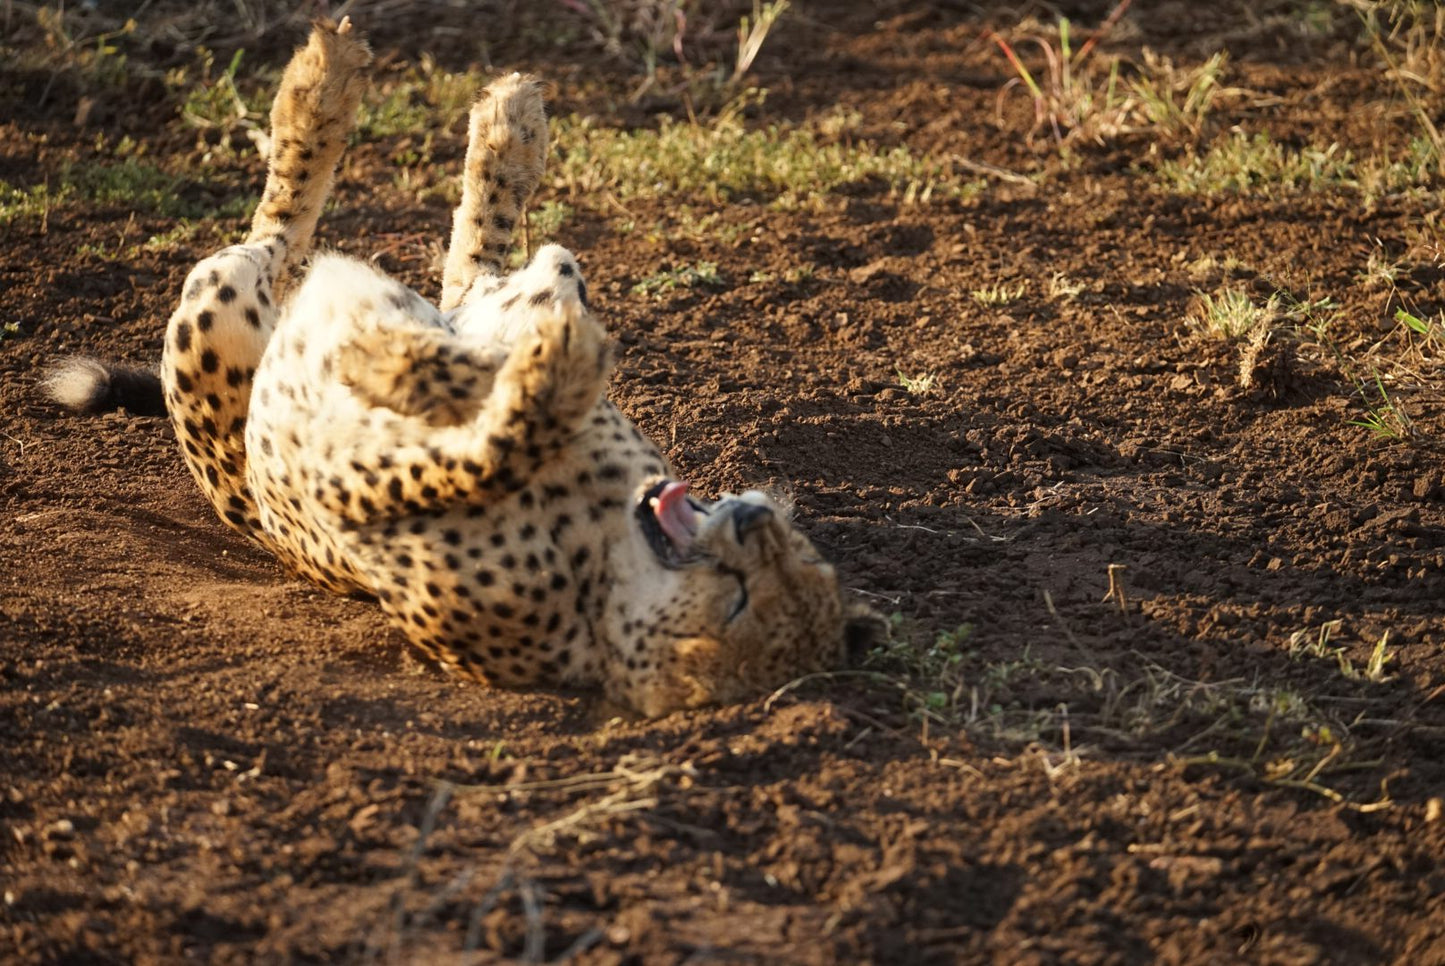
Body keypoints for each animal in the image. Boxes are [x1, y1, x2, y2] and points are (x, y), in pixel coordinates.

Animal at [48, 18, 878, 716]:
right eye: (792, 558)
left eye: (745, 594)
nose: (756, 516)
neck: (603, 565)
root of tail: (235, 494)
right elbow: (500, 355)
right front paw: (425, 354)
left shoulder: (359, 502)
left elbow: (488, 438)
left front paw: (423, 359)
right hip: (234, 304)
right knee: (377, 246)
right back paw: (406, 104)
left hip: (213, 309)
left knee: (297, 239)